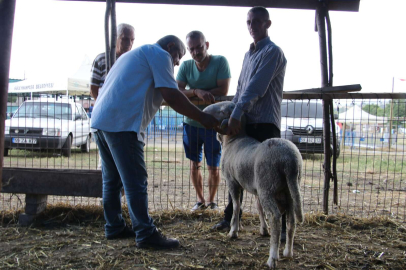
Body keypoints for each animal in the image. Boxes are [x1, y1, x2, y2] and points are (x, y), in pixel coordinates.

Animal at [205, 100, 302, 268]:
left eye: (222, 111)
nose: (204, 111)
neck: (233, 140)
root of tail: (290, 161)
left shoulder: (232, 181)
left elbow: (236, 205)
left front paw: (233, 231)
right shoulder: (256, 188)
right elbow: (258, 208)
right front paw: (263, 229)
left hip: (268, 186)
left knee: (276, 217)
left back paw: (272, 258)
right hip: (288, 189)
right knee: (291, 220)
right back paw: (288, 252)